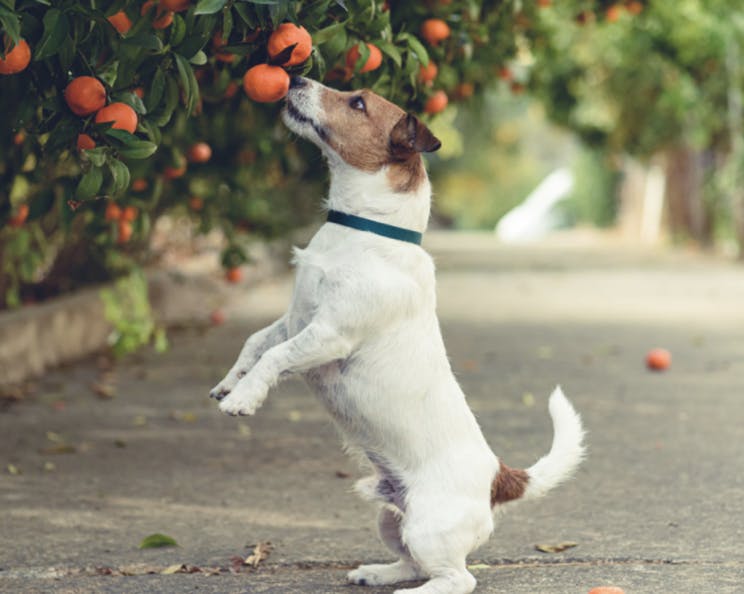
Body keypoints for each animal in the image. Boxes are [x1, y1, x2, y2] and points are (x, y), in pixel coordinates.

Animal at [211, 78, 588, 592]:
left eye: (357, 103)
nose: (296, 78)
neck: (365, 230)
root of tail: (498, 477)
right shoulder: (294, 320)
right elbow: (255, 343)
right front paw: (230, 383)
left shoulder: (328, 334)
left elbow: (275, 358)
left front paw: (244, 399)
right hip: (391, 518)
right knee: (411, 561)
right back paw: (377, 572)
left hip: (429, 526)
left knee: (456, 578)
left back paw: (416, 591)